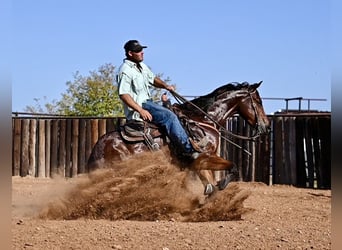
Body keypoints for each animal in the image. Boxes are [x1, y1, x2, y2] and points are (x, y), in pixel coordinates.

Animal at [85, 80, 270, 195]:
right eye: (259, 101)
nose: (267, 126)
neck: (202, 120)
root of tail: (99, 147)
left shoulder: (198, 162)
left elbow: (208, 181)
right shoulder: (206, 156)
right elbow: (232, 168)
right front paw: (221, 185)